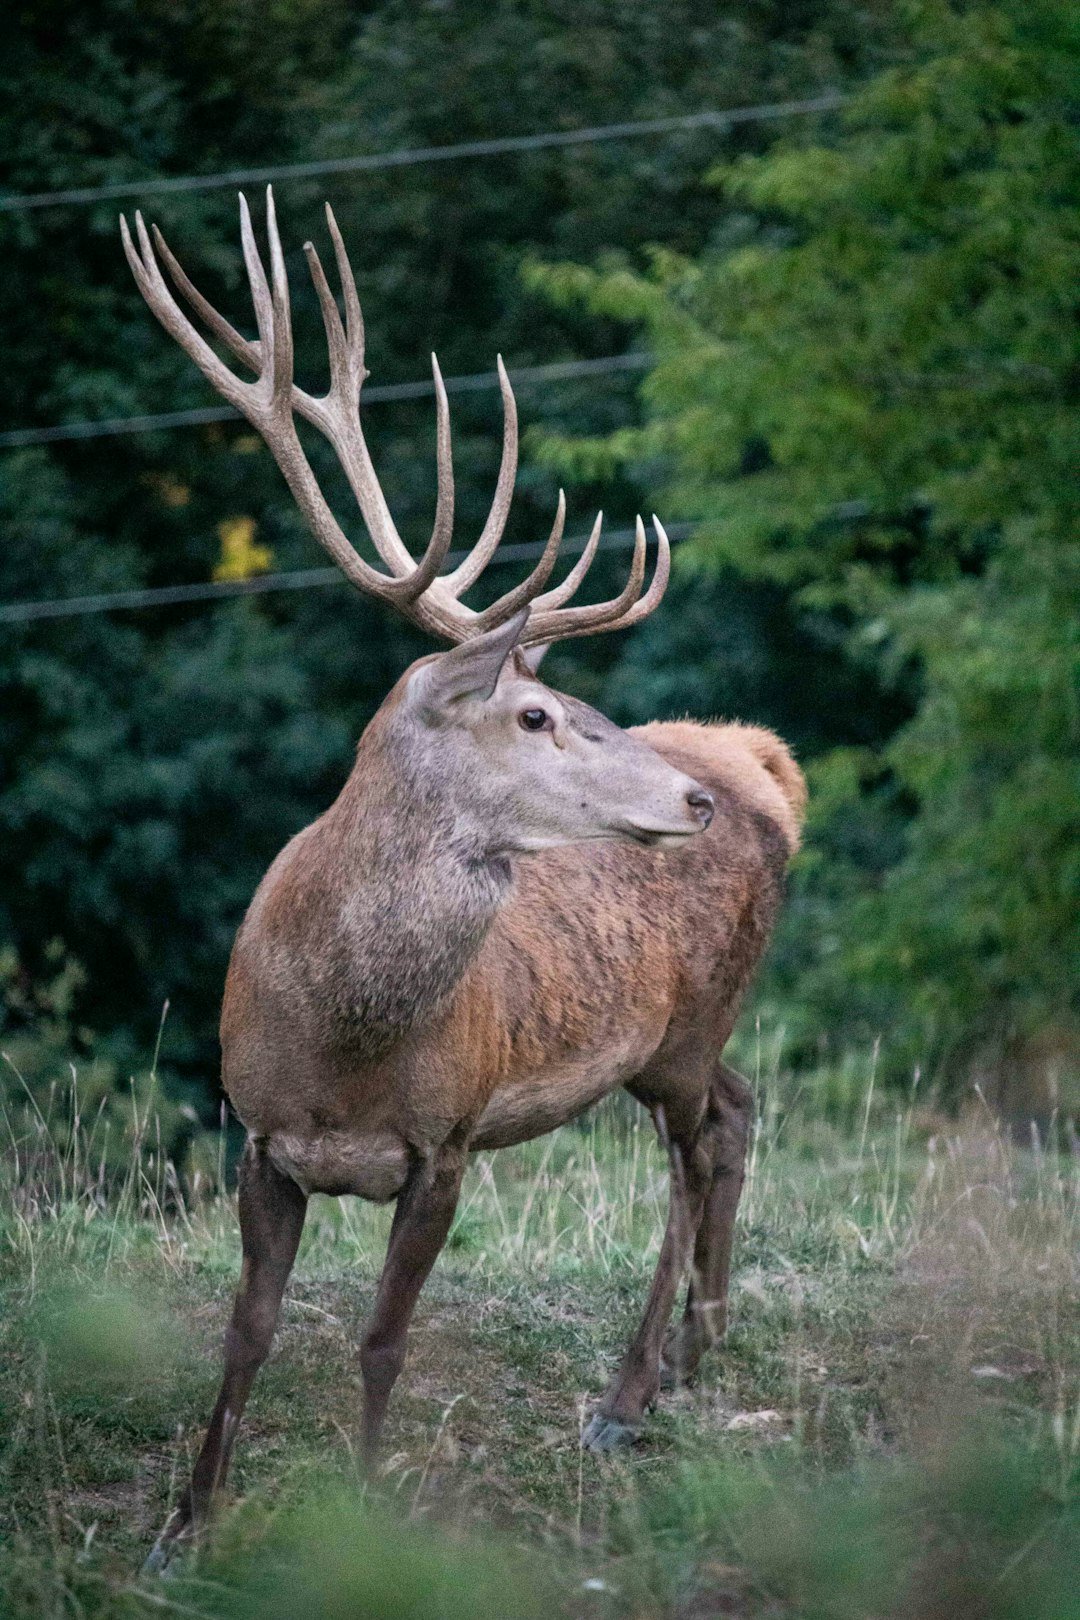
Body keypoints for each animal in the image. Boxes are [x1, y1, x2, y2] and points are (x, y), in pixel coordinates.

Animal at [121, 188, 806, 1568]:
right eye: (537, 714)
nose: (689, 803)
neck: (342, 1040)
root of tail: (767, 765)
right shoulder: (258, 1135)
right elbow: (247, 1333)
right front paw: (186, 1525)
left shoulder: (447, 1141)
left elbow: (383, 1342)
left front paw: (365, 1506)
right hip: (688, 1036)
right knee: (738, 1114)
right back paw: (698, 1351)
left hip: (689, 1023)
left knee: (697, 1146)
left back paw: (628, 1394)